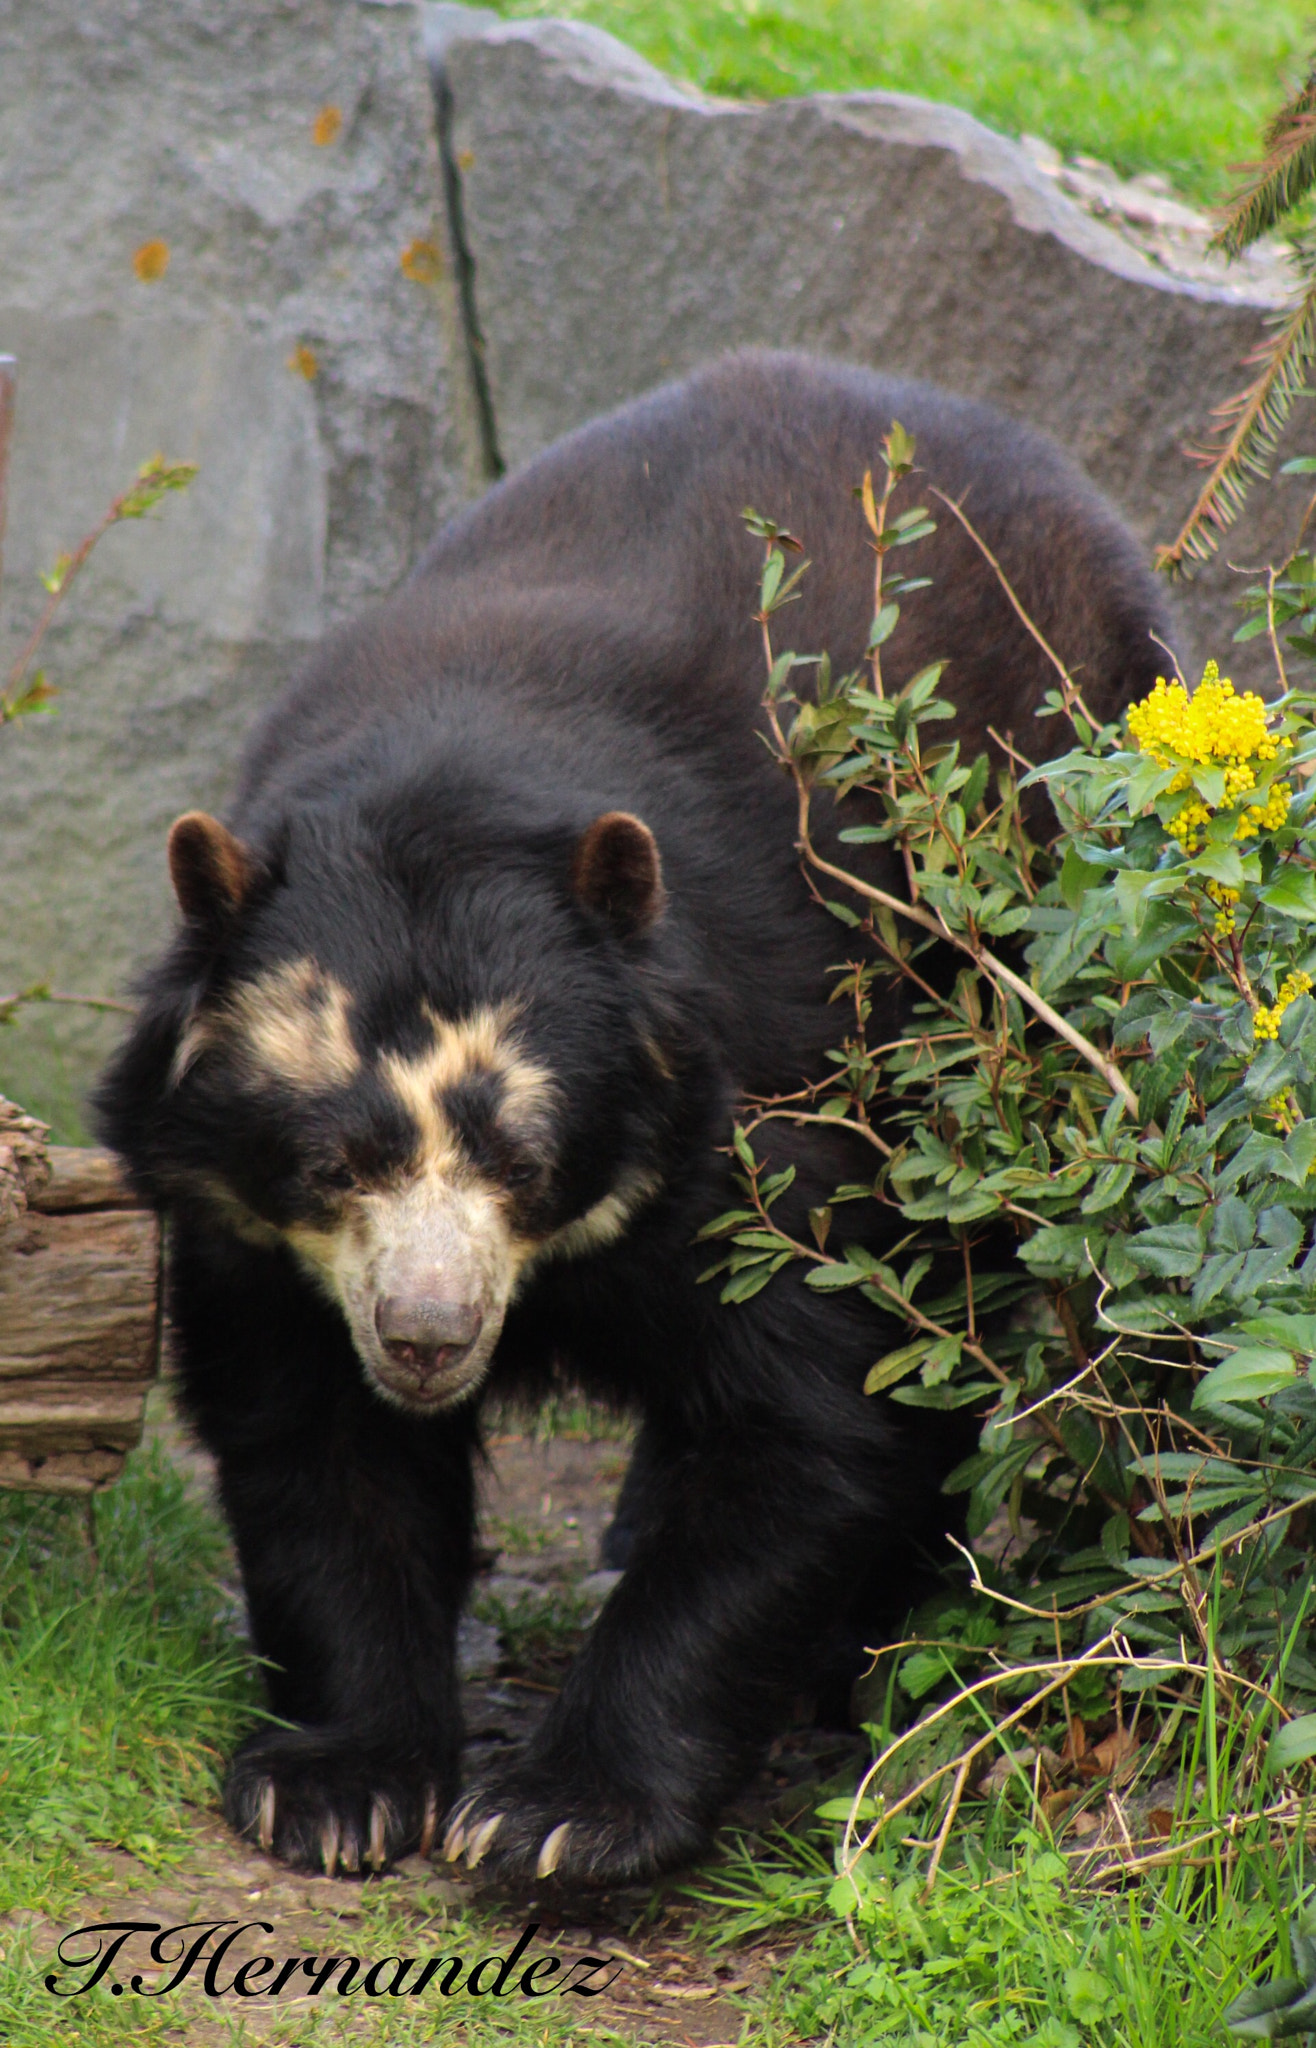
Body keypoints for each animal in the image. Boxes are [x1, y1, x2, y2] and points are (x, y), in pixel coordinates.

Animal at [97, 348, 1178, 1884]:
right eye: (332, 1161)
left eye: (522, 1157)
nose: (426, 1337)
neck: (452, 782)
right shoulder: (243, 1223)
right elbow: (310, 1441)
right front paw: (335, 1785)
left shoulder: (751, 1110)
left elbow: (808, 1420)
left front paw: (558, 1817)